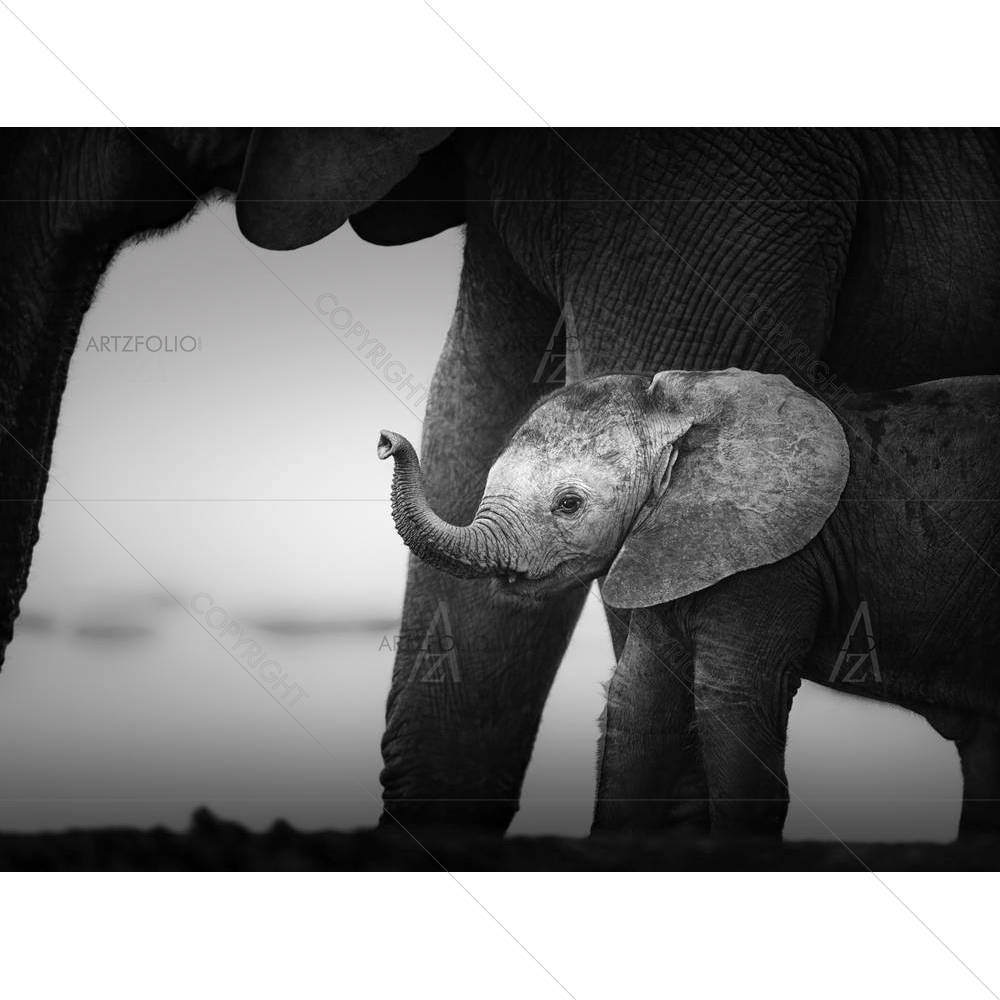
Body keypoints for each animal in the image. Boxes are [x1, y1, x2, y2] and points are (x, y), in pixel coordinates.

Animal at [378, 369, 1000, 838]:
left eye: (569, 504)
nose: (386, 440)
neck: (685, 412)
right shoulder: (670, 546)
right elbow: (638, 697)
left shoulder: (773, 563)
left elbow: (730, 697)